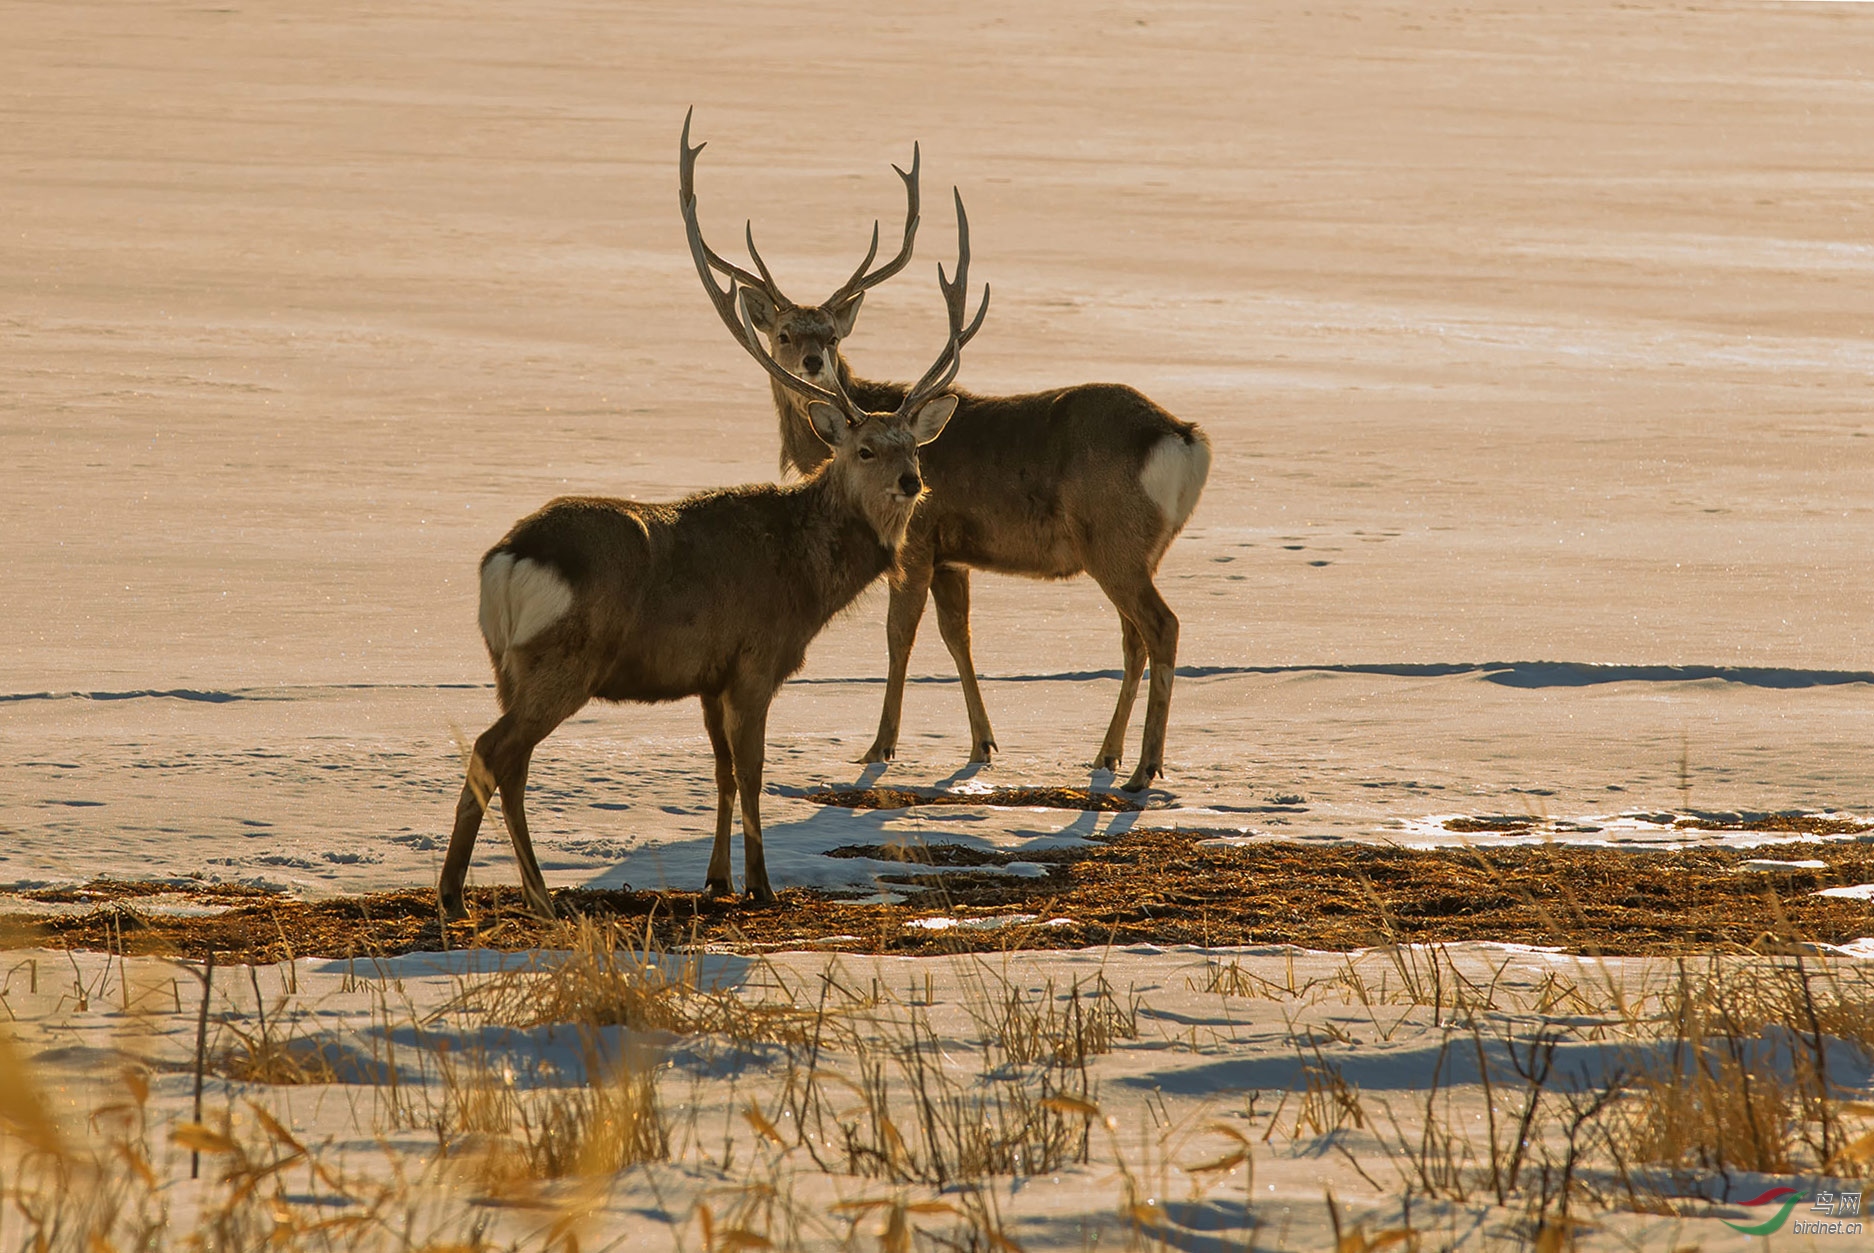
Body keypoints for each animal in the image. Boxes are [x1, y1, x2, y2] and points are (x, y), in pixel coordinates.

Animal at [434, 177, 981, 917]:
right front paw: (762, 884)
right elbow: (750, 771)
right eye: (865, 448)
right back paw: (461, 894)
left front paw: (718, 878)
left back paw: (532, 893)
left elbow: (720, 772)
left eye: (914, 446)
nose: (911, 482)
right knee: (494, 750)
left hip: (506, 662)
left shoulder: (707, 674)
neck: (807, 577)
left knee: (509, 761)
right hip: (566, 656)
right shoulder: (756, 656)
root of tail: (507, 559)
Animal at [685, 112, 1214, 786]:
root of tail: (1181, 435)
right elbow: (958, 635)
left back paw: (1146, 765)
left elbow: (899, 638)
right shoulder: (953, 555)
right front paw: (983, 743)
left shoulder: (917, 539)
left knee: (1161, 627)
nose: (811, 363)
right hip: (1139, 548)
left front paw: (880, 746)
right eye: (783, 332)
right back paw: (1107, 754)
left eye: (830, 334)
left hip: (1114, 538)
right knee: (1134, 637)